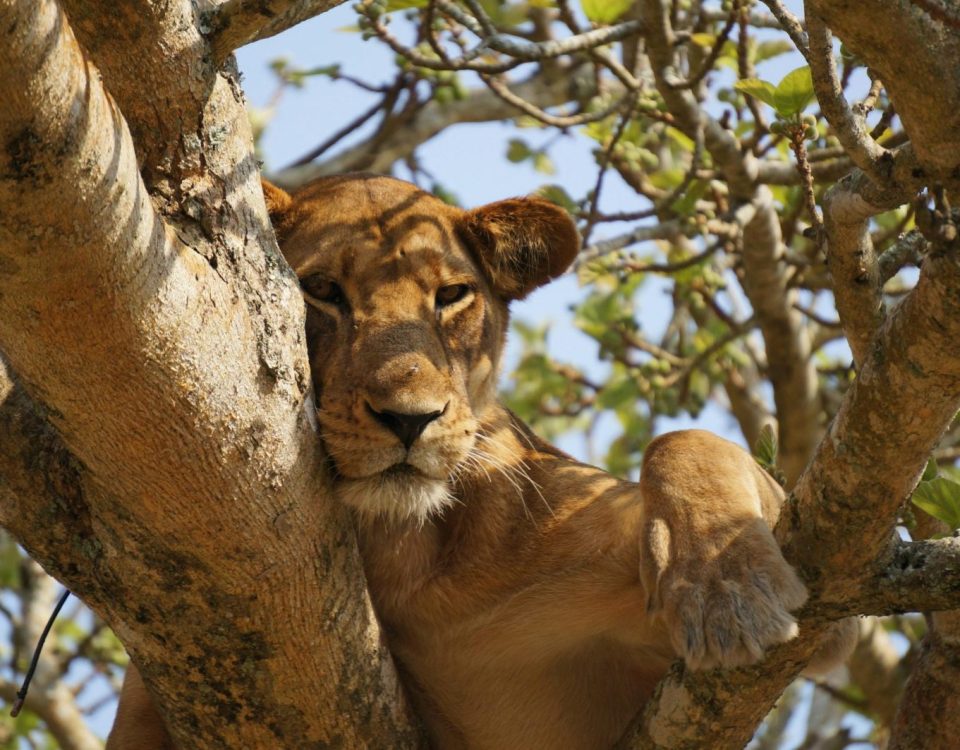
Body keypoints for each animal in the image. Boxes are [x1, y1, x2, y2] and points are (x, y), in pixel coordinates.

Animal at [108, 174, 852, 749]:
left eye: (450, 296)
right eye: (320, 289)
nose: (410, 419)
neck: (407, 557)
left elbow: (684, 442)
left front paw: (726, 587)